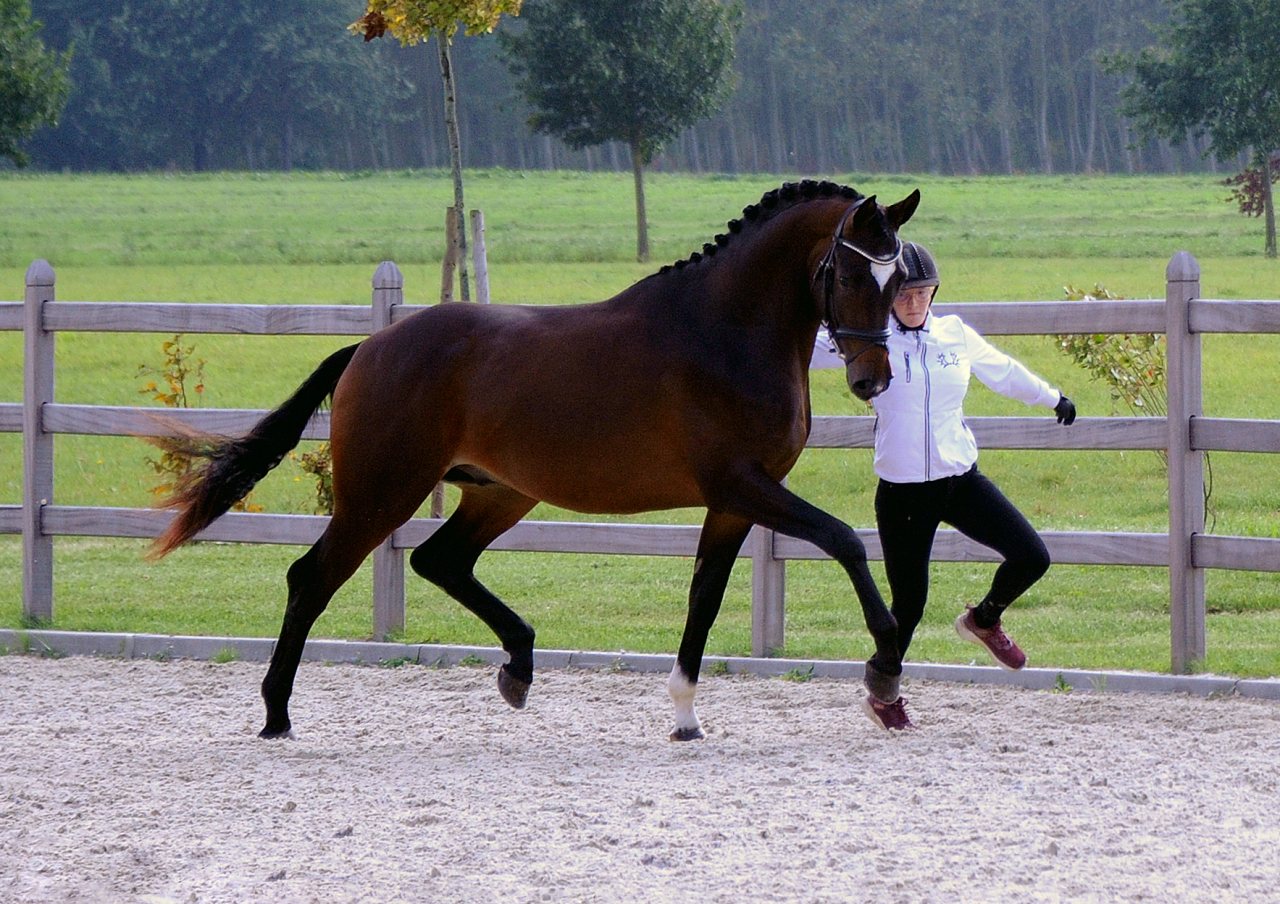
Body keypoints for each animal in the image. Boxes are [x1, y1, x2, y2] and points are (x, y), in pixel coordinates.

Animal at [152, 179, 921, 737]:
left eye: (897, 281)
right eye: (853, 277)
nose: (872, 382)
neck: (723, 332)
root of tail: (370, 347)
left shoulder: (732, 502)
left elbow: (704, 596)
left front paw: (684, 714)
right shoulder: (743, 484)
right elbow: (845, 540)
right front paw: (884, 668)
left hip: (498, 492)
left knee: (438, 560)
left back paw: (518, 666)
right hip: (382, 493)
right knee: (312, 577)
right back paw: (277, 713)